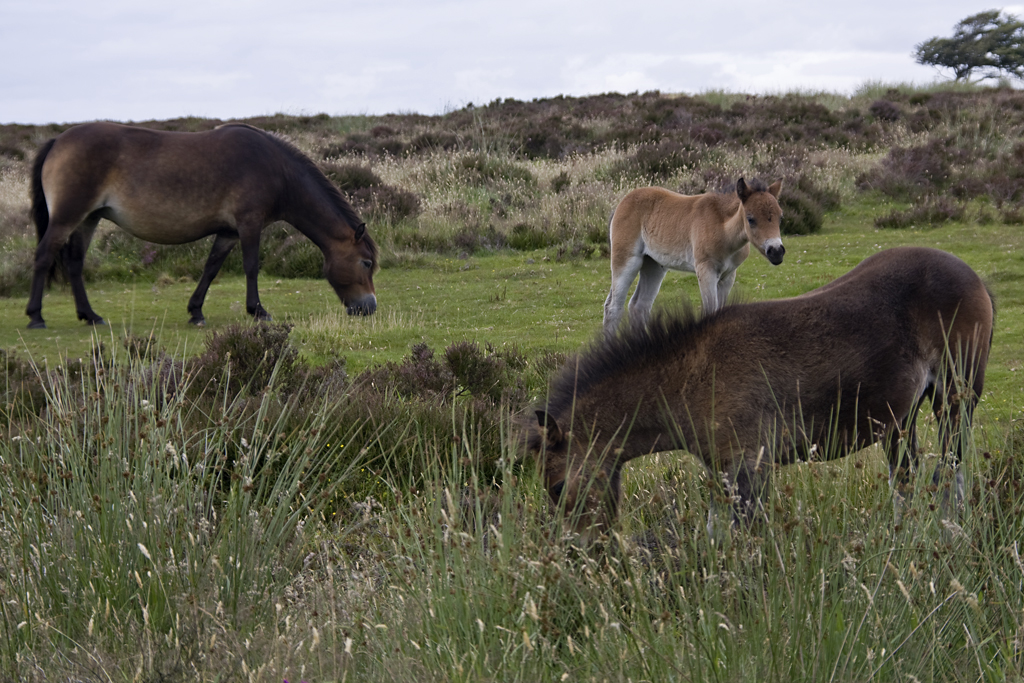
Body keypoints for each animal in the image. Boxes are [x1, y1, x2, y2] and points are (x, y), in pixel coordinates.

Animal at [29, 121, 380, 329]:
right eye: (365, 262)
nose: (369, 308)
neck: (277, 170)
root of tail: (57, 140)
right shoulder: (249, 224)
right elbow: (251, 266)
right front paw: (258, 311)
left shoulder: (228, 232)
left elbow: (211, 268)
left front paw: (196, 312)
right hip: (68, 217)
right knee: (44, 256)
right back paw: (36, 316)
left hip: (88, 218)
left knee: (75, 263)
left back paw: (90, 316)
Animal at [532, 248, 995, 540]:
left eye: (556, 486)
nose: (578, 548)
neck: (693, 375)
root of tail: (976, 277)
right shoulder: (723, 471)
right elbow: (718, 534)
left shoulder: (748, 467)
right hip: (899, 421)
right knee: (907, 482)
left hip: (954, 399)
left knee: (952, 472)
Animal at [598, 176, 782, 331]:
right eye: (750, 219)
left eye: (780, 217)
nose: (777, 251)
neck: (722, 228)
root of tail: (621, 204)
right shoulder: (706, 270)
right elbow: (710, 311)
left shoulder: (728, 276)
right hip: (627, 261)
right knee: (613, 308)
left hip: (654, 265)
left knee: (639, 306)